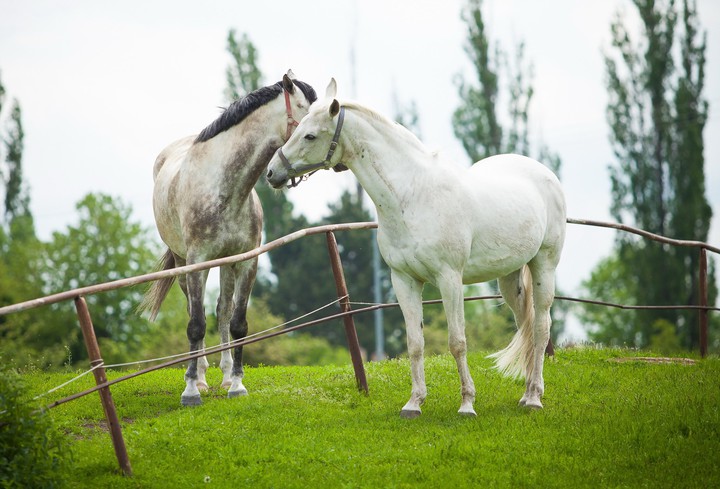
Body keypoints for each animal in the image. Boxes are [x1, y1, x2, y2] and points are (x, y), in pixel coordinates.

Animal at [139, 71, 317, 406]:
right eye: (310, 116)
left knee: (222, 309)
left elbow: (237, 323)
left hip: (224, 263)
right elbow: (196, 325)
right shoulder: (196, 263)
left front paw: (236, 384)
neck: (224, 187)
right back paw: (201, 377)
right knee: (194, 312)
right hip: (183, 263)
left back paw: (221, 376)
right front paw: (191, 390)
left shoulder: (246, 262)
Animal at [265, 79, 566, 417]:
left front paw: (467, 403)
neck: (412, 195)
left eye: (310, 135)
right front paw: (414, 403)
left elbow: (457, 341)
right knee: (524, 326)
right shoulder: (404, 280)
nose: (272, 173)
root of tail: (544, 173)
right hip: (509, 277)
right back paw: (526, 393)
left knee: (540, 327)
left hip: (544, 265)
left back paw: (535, 397)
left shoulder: (450, 279)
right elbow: (415, 343)